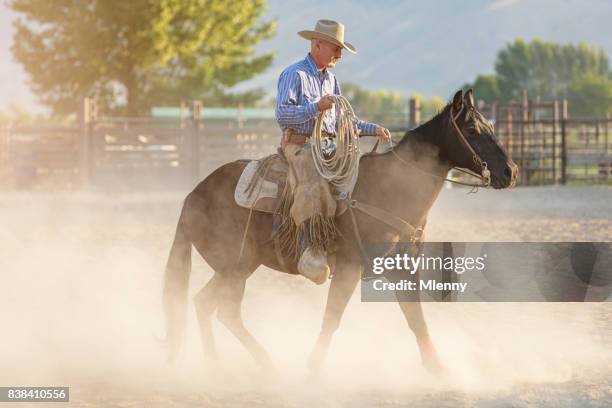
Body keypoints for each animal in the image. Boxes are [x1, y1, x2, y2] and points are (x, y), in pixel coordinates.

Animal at [161, 91, 516, 374]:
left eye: (490, 127)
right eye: (472, 130)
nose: (510, 171)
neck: (390, 188)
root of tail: (193, 196)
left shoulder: (401, 266)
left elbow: (415, 316)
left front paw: (439, 369)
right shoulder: (348, 266)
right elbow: (333, 316)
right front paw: (314, 367)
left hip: (237, 267)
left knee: (205, 304)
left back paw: (222, 363)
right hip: (235, 266)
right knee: (223, 310)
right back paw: (259, 363)